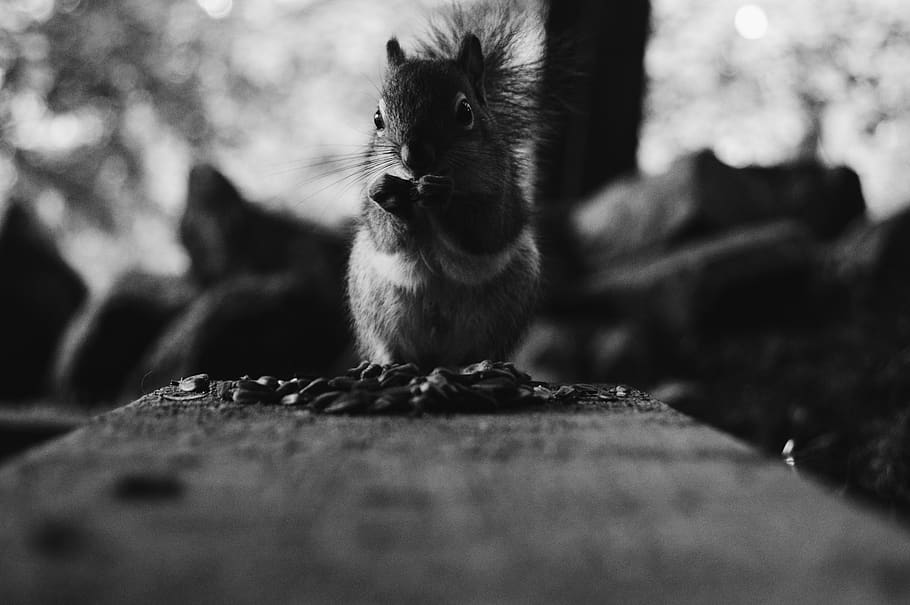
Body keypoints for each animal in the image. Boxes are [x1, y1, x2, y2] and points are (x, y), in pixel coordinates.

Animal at [347, 2, 547, 369]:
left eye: (465, 111)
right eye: (377, 119)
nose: (415, 156)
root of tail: (435, 359)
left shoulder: (504, 197)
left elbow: (486, 230)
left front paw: (443, 195)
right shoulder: (371, 207)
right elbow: (386, 236)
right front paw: (390, 197)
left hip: (509, 301)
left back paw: (480, 364)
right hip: (372, 305)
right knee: (389, 347)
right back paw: (384, 364)